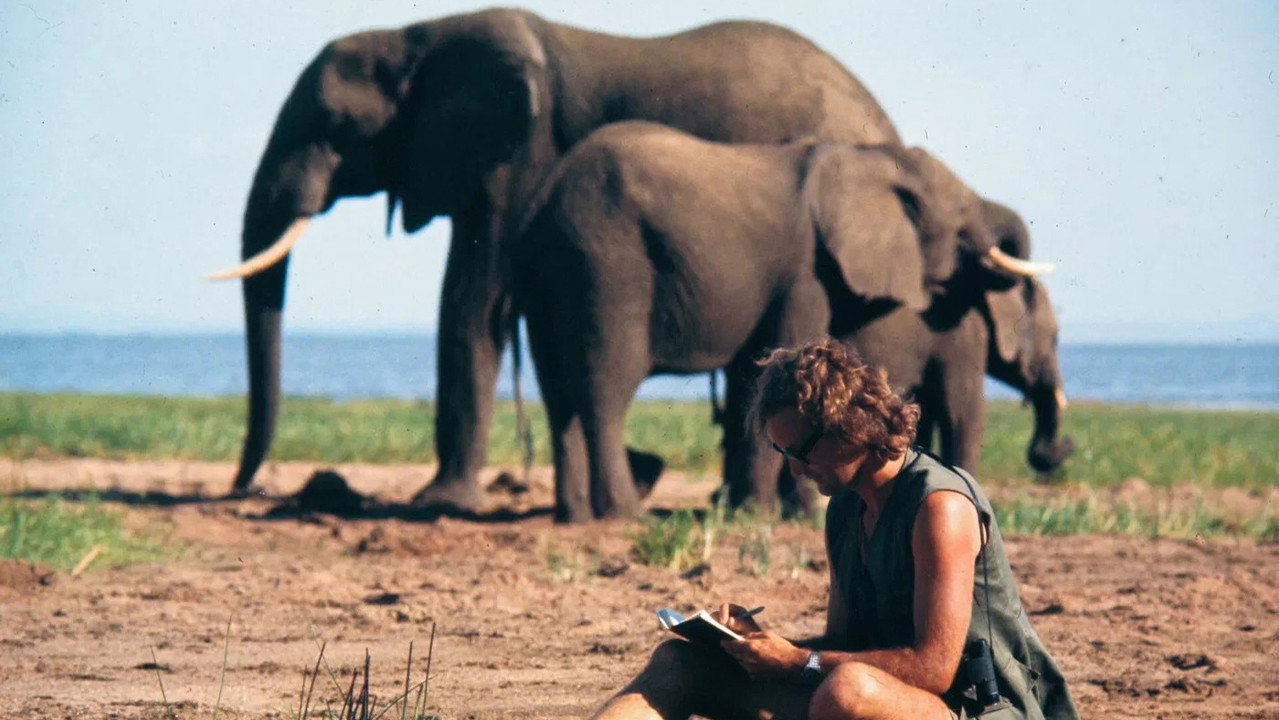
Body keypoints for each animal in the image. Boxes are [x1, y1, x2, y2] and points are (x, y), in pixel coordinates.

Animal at [207, 7, 913, 510]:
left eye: (334, 127)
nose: (251, 488)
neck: (419, 35)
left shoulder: (517, 150)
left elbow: (472, 299)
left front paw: (440, 503)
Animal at [510, 121, 1045, 521]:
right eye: (961, 216)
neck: (865, 157)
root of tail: (545, 193)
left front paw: (755, 512)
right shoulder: (805, 272)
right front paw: (765, 516)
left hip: (548, 268)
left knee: (557, 395)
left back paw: (575, 516)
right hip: (606, 260)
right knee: (606, 385)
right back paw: (625, 515)